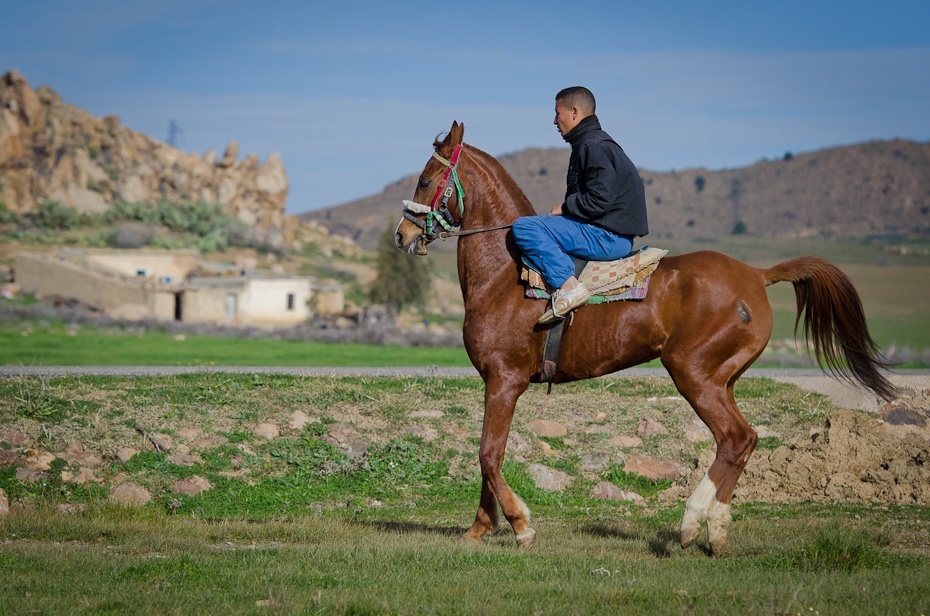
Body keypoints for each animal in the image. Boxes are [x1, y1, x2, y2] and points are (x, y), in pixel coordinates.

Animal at [390, 122, 892, 556]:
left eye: (424, 179)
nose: (402, 234)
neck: (504, 274)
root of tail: (756, 273)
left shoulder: (504, 381)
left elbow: (489, 455)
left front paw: (520, 526)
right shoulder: (494, 385)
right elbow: (486, 457)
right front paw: (479, 528)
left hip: (694, 375)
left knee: (736, 439)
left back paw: (692, 523)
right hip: (722, 380)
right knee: (741, 443)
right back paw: (716, 530)